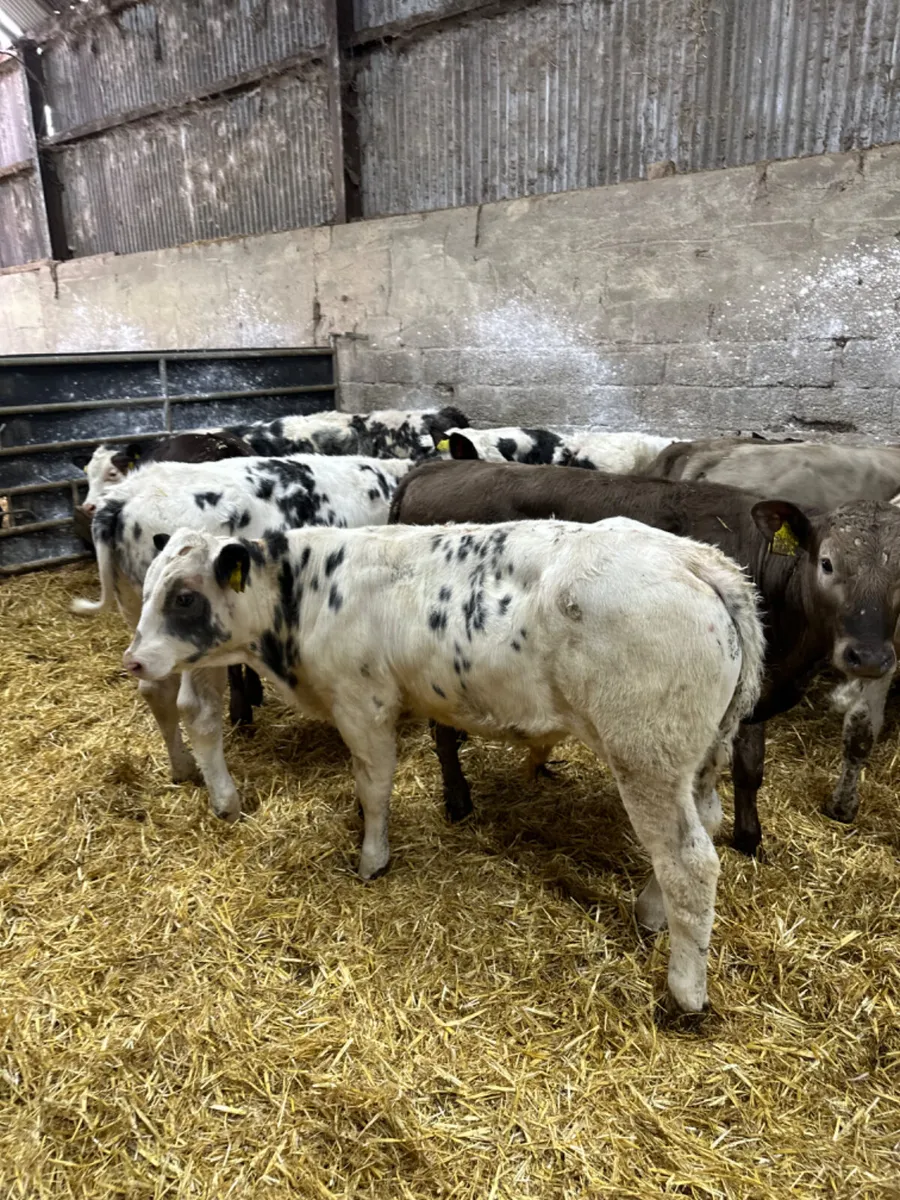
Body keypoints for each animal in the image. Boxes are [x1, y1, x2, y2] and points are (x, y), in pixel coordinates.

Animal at [71, 454, 414, 817]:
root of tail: (122, 498)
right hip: (194, 646)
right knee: (197, 709)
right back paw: (226, 800)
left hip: (145, 622)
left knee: (155, 691)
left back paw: (183, 767)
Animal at [123, 518, 765, 1016]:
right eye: (148, 587)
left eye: (183, 597)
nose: (134, 660)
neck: (306, 593)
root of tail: (695, 558)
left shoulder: (364, 704)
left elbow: (374, 785)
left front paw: (372, 858)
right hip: (699, 755)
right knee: (703, 825)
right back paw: (651, 913)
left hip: (646, 755)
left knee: (689, 861)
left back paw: (685, 993)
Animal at [388, 459, 900, 854]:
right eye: (827, 563)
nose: (869, 657)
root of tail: (436, 466)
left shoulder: (756, 694)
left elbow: (751, 770)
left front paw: (749, 839)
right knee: (441, 731)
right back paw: (458, 800)